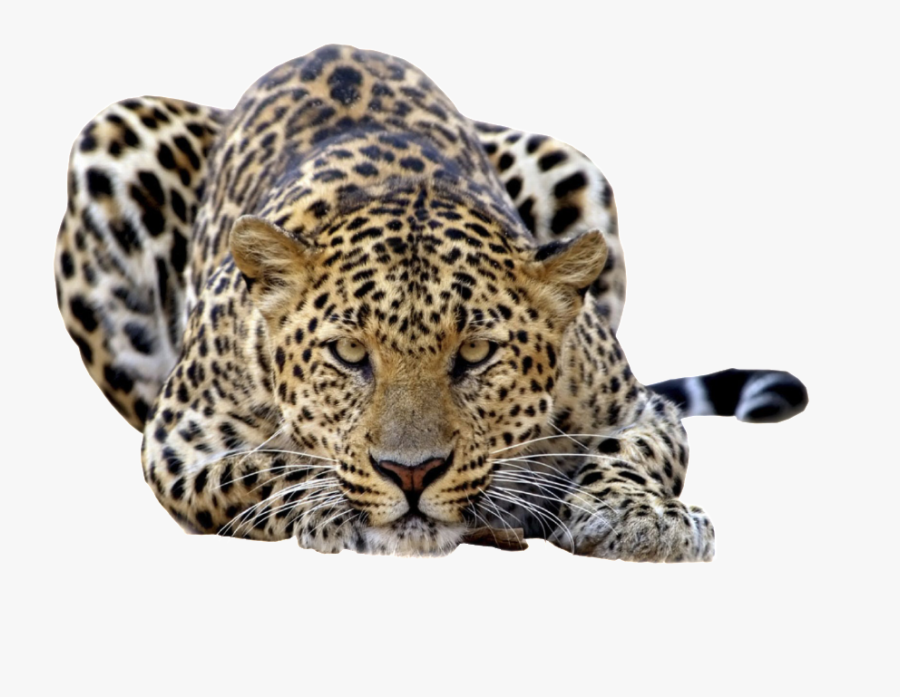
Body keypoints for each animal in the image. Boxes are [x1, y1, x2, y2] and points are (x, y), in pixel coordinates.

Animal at [55, 45, 808, 560]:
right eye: (348, 353)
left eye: (475, 354)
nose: (411, 473)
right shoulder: (178, 439)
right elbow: (266, 466)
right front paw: (335, 503)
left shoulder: (638, 408)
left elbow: (631, 451)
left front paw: (642, 517)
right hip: (112, 140)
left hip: (569, 163)